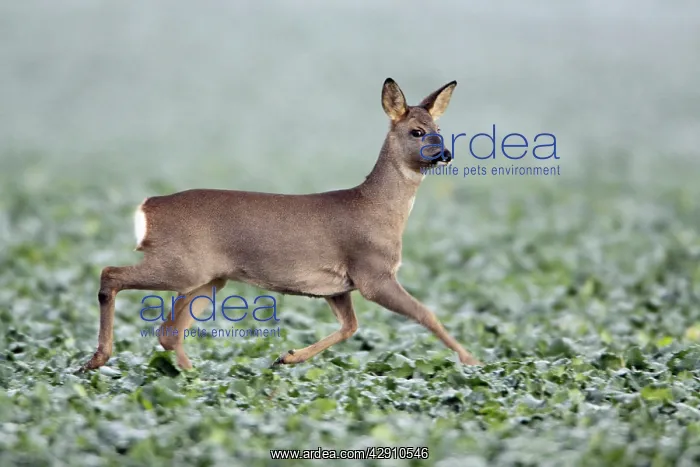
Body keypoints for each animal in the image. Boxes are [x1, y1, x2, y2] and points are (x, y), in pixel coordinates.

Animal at [80, 78, 482, 372]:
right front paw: (472, 360)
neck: (377, 208)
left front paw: (287, 357)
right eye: (417, 132)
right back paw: (97, 359)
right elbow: (426, 314)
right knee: (110, 275)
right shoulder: (373, 273)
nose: (446, 154)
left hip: (208, 277)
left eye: (439, 127)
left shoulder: (338, 287)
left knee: (168, 331)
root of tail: (147, 207)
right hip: (182, 266)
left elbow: (350, 327)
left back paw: (192, 376)